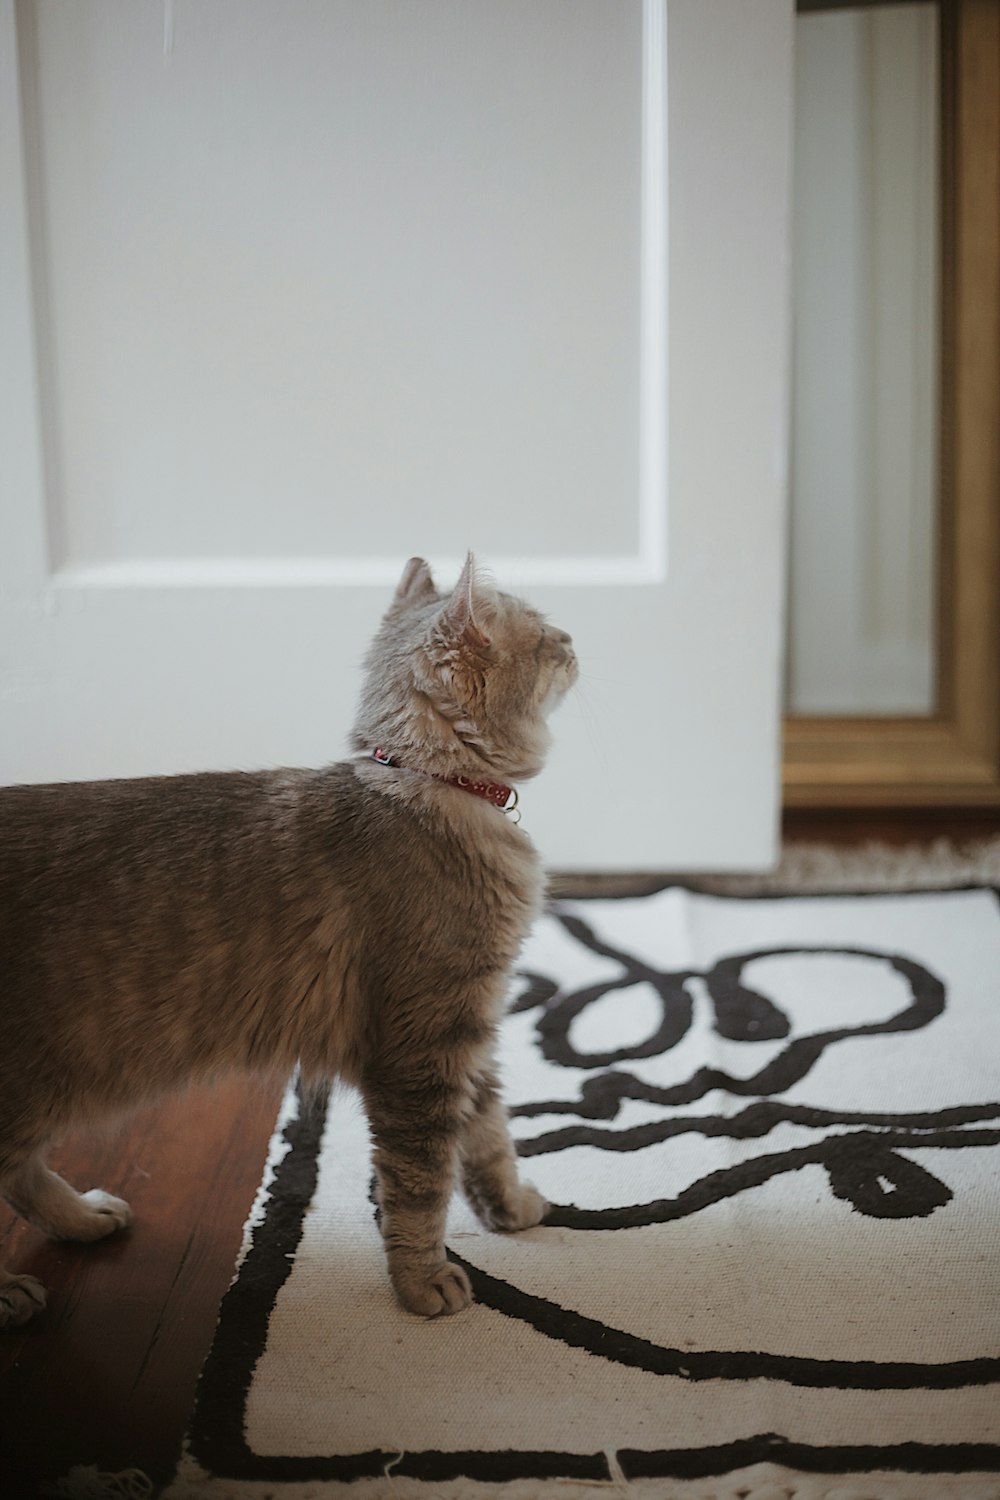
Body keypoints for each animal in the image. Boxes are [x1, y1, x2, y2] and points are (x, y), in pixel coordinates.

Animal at [0, 561, 578, 1326]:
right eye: (544, 637)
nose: (574, 642)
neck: (426, 786)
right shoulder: (420, 1052)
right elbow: (420, 1186)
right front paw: (424, 1282)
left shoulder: (468, 1029)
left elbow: (490, 1139)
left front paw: (509, 1208)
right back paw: (9, 1290)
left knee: (23, 1173)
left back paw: (83, 1218)